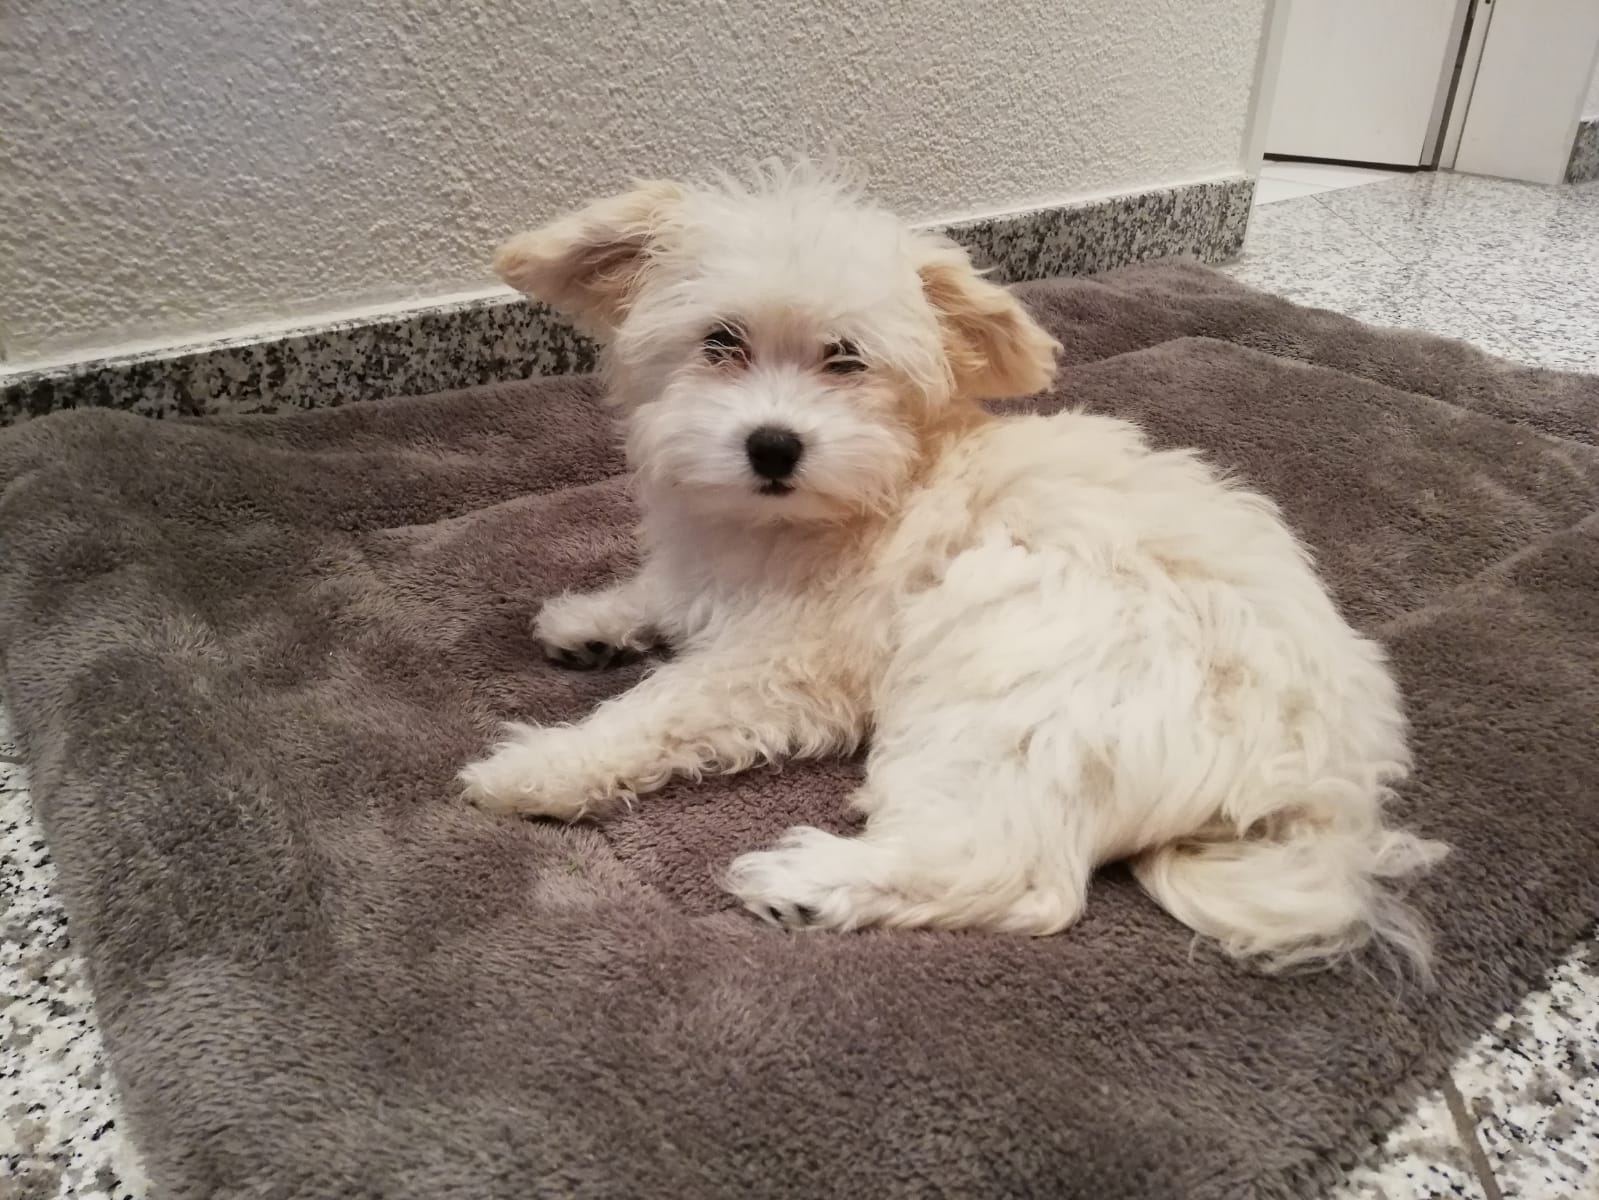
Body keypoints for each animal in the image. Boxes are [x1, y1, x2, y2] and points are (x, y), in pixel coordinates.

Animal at [460, 164, 1447, 974]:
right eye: (720, 342)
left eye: (845, 357)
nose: (773, 445)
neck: (881, 482)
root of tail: (1321, 782)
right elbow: (663, 597)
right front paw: (591, 622)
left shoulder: (793, 660)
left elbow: (666, 707)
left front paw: (543, 765)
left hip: (1004, 672)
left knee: (1013, 874)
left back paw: (810, 880)